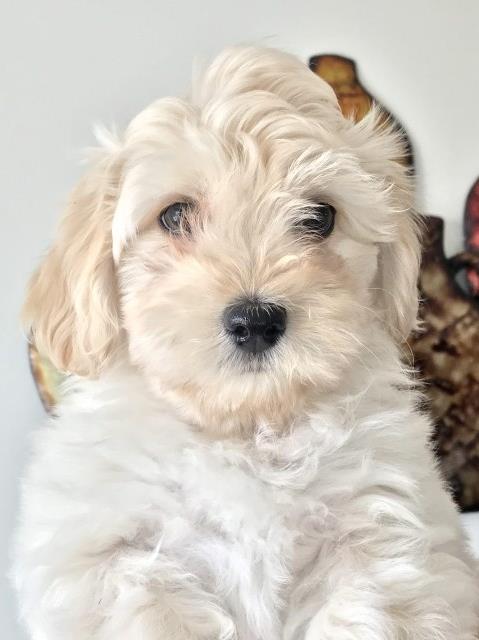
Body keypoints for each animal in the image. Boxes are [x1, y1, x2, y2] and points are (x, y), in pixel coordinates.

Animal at [12, 47, 479, 636]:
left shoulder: (382, 535)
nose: (255, 321)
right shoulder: (109, 553)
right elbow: (150, 603)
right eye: (174, 214)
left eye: (319, 216)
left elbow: (366, 608)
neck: (247, 431)